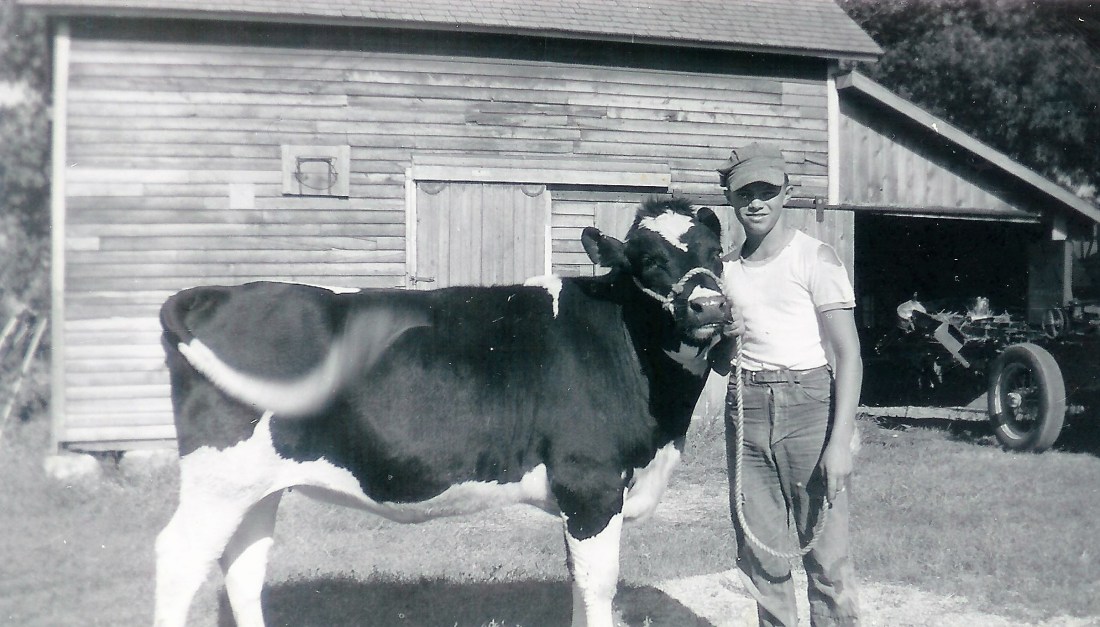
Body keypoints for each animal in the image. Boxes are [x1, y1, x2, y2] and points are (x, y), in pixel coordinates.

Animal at [153, 197, 732, 627]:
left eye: (719, 253)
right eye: (649, 260)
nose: (709, 306)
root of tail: (217, 293)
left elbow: (577, 582)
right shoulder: (590, 483)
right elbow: (598, 587)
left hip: (256, 485)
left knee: (242, 568)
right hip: (219, 478)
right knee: (179, 560)